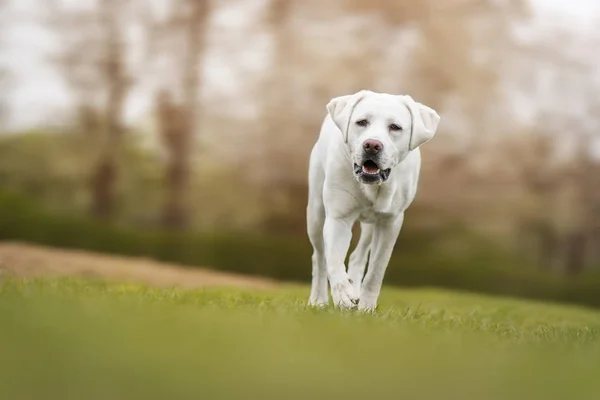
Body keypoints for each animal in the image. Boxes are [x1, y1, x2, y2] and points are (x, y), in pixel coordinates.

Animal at [304, 90, 440, 312]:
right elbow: (334, 260)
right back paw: (319, 300)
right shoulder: (338, 218)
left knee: (357, 257)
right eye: (362, 122)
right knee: (320, 257)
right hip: (315, 212)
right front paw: (343, 296)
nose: (372, 145)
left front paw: (366, 307)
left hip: (370, 226)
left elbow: (376, 270)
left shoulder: (390, 223)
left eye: (395, 127)